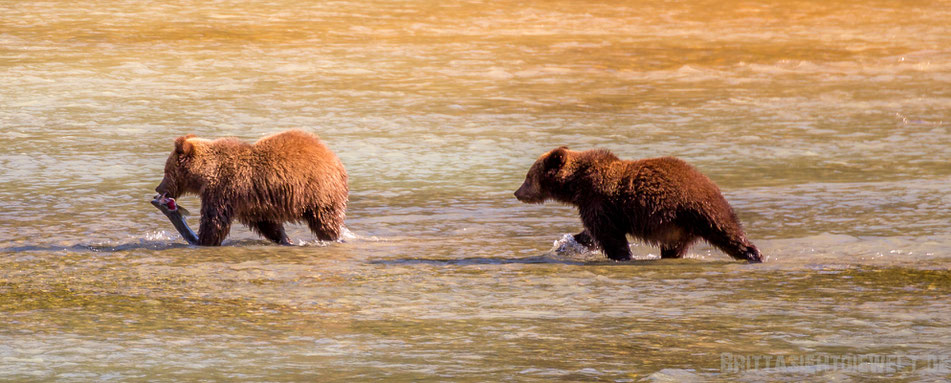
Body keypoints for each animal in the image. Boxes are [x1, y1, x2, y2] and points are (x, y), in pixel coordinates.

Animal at [154, 130, 348, 248]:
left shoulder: (224, 189)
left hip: (318, 191)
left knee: (325, 220)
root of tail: (333, 157)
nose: (158, 188)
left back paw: (332, 237)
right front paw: (285, 239)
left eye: (166, 171)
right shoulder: (254, 202)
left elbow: (214, 221)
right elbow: (267, 224)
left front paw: (203, 241)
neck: (206, 173)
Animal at [516, 148, 764, 264]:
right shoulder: (598, 207)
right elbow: (591, 233)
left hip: (697, 208)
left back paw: (754, 255)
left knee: (728, 232)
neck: (577, 184)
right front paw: (566, 244)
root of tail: (709, 181)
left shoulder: (598, 201)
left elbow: (609, 236)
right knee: (674, 248)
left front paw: (622, 256)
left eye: (528, 177)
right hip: (678, 228)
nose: (517, 192)